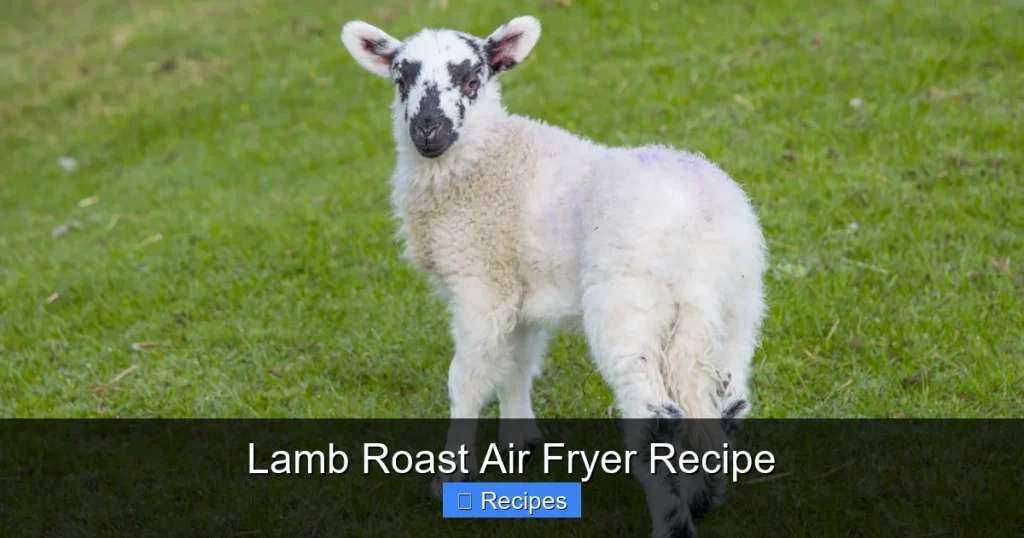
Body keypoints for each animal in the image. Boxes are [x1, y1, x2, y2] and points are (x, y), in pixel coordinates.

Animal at [341, 15, 767, 537]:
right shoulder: (518, 292)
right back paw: (704, 498)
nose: (428, 130)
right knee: (725, 408)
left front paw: (449, 478)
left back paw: (673, 521)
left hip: (627, 304)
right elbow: (516, 365)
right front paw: (520, 443)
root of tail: (700, 233)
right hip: (737, 307)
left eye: (472, 79)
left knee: (657, 417)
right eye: (401, 79)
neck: (486, 162)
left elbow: (467, 380)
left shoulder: (481, 284)